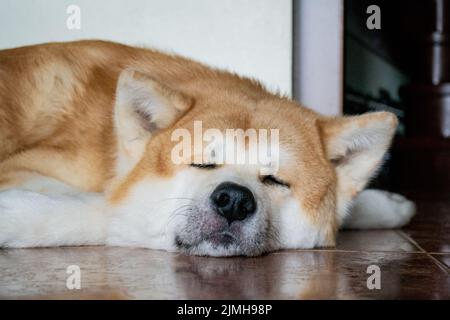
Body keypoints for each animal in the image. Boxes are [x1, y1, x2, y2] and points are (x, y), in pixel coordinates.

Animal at [0, 40, 414, 255]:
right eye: (201, 164)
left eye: (275, 180)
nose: (234, 200)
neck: (108, 149)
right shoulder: (24, 170)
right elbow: (108, 211)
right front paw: (20, 216)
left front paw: (388, 205)